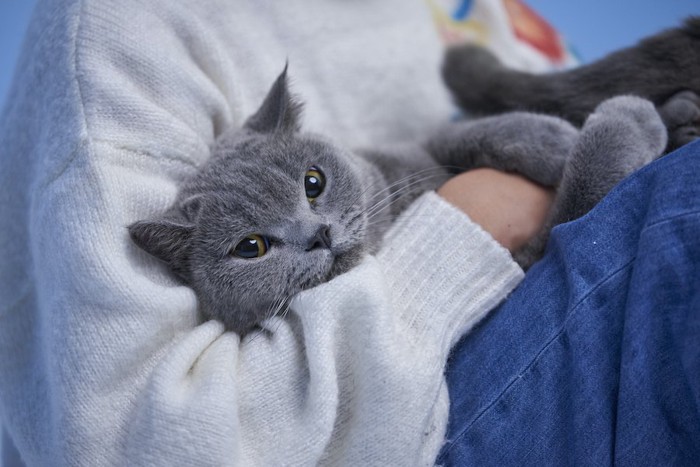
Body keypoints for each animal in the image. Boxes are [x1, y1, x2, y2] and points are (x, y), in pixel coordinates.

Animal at [130, 67, 668, 334]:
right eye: (251, 248)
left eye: (312, 183)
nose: (318, 235)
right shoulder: (525, 257)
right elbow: (568, 217)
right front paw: (627, 123)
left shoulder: (419, 150)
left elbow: (461, 134)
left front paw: (553, 141)